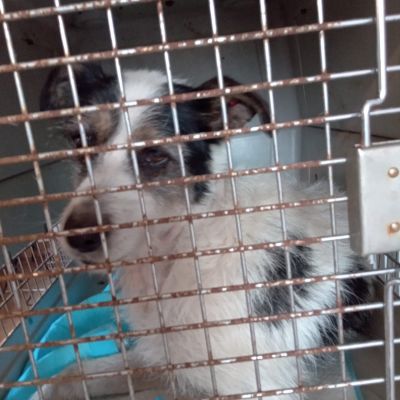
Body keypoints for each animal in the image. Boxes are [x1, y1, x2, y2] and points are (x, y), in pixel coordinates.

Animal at [31, 63, 371, 399]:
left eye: (154, 155)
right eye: (79, 140)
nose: (79, 236)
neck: (180, 247)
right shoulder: (170, 355)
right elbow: (83, 372)